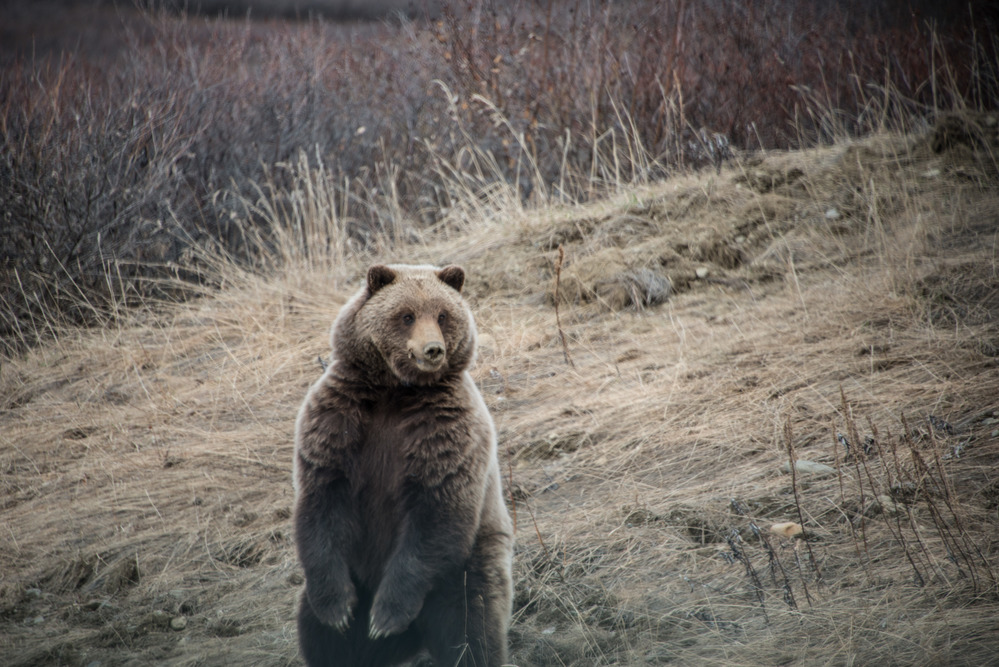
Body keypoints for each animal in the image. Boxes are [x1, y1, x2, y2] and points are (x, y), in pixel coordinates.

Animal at [293, 263, 514, 667]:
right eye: (407, 315)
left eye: (442, 315)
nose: (433, 349)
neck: (394, 392)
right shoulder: (338, 419)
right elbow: (322, 498)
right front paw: (339, 611)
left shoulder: (446, 430)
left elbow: (435, 512)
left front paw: (385, 617)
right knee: (320, 637)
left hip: (468, 569)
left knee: (472, 632)